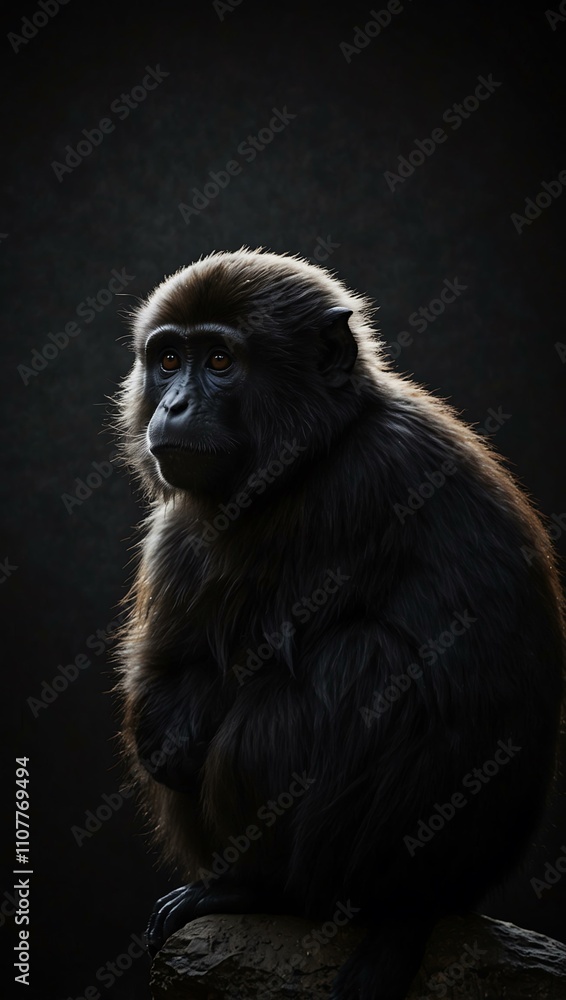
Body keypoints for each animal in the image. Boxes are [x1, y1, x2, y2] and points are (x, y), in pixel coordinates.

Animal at [115, 247, 564, 1000]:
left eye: (219, 361)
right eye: (169, 359)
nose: (174, 405)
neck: (324, 442)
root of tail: (436, 898)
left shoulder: (354, 488)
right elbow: (175, 665)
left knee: (354, 664)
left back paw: (265, 891)